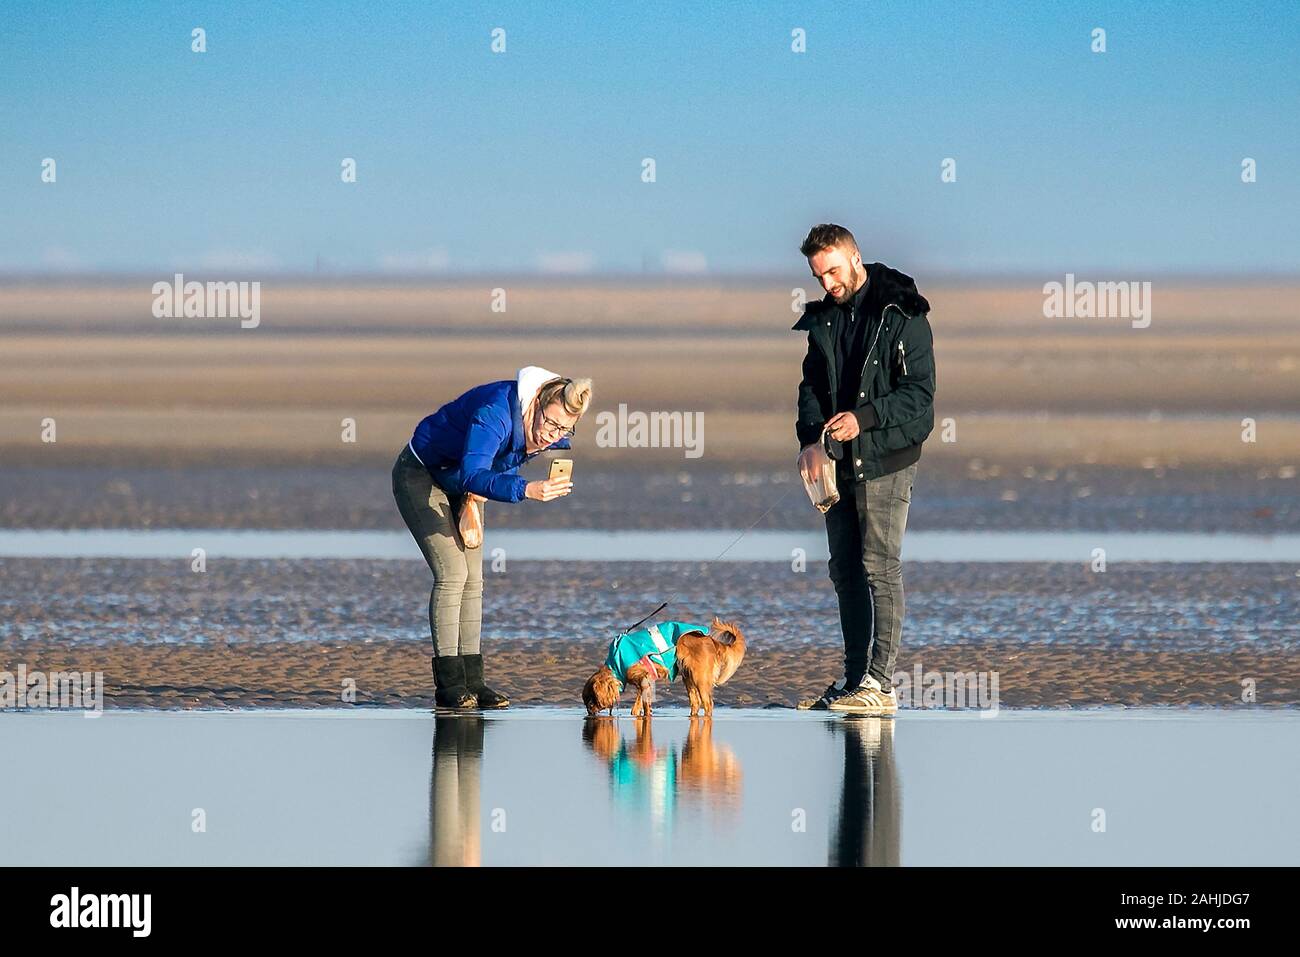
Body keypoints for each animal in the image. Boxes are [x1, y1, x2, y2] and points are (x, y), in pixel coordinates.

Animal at [585, 616, 748, 712]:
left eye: (591, 701)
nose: (588, 712)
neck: (616, 664)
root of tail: (711, 640)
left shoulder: (644, 680)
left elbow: (642, 706)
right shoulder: (644, 683)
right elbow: (638, 707)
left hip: (699, 678)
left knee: (708, 704)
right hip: (688, 678)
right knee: (695, 703)